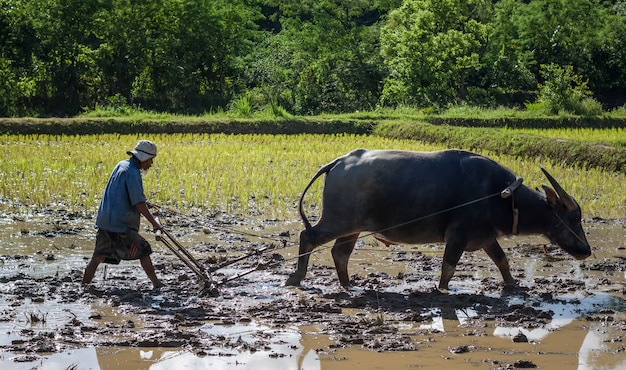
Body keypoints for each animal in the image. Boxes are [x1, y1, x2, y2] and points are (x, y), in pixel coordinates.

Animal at [286, 148, 588, 290]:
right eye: (573, 216)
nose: (586, 250)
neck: (500, 193)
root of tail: (339, 161)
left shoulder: (486, 238)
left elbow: (502, 261)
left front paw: (513, 285)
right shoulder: (458, 236)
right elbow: (448, 268)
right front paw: (442, 290)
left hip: (353, 228)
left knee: (340, 253)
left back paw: (348, 284)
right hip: (339, 221)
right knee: (308, 236)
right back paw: (296, 277)